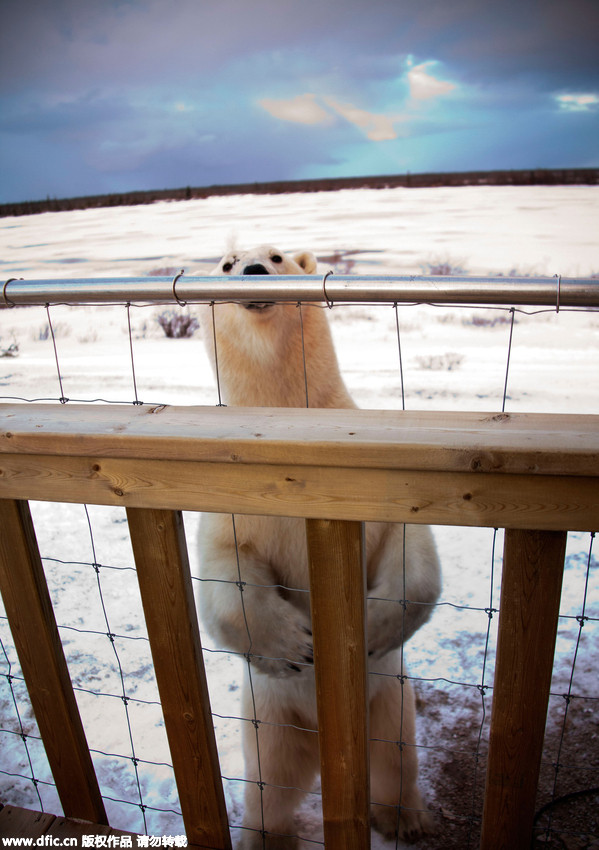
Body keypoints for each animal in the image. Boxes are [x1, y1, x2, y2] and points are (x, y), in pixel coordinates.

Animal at [199, 243, 442, 840]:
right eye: (227, 262)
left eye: (277, 255)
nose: (253, 272)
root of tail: (327, 742)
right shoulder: (232, 493)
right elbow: (226, 571)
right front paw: (294, 644)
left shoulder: (377, 477)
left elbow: (410, 550)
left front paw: (371, 625)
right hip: (269, 718)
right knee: (272, 782)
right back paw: (262, 834)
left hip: (389, 701)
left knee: (394, 760)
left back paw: (406, 819)